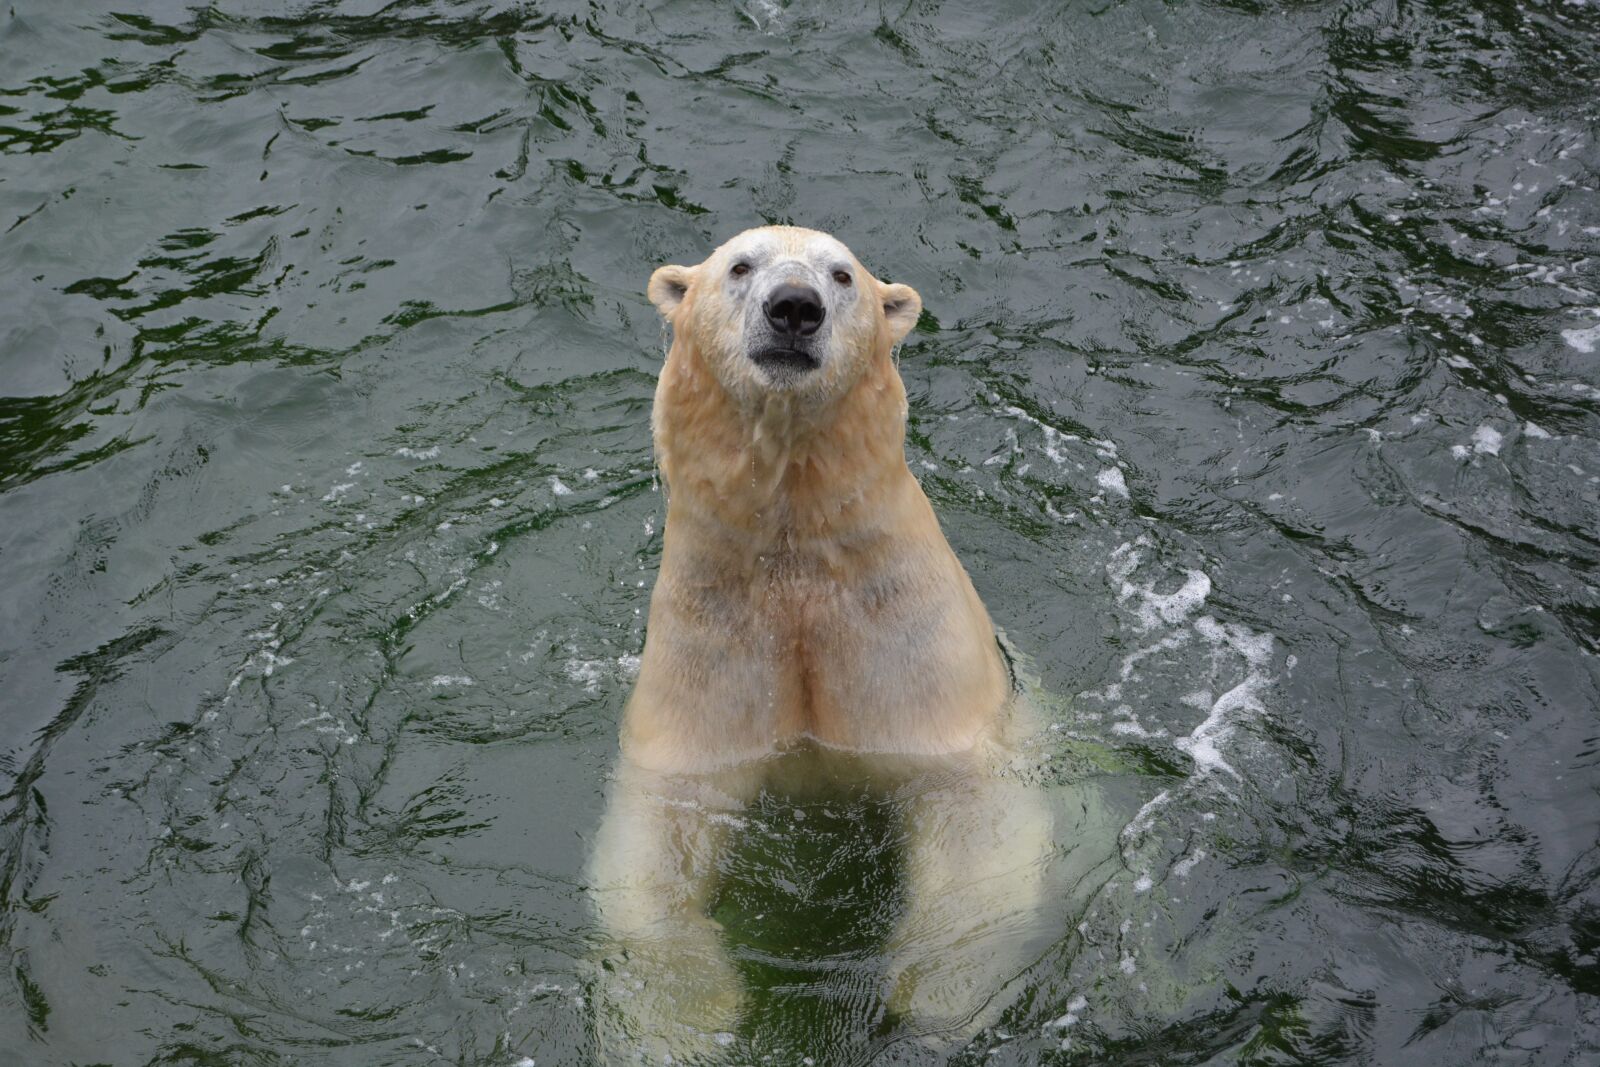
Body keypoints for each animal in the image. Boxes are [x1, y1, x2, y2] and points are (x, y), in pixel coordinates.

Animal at [587, 226, 1075, 1060]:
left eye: (842, 275)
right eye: (740, 265)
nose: (794, 307)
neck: (796, 557)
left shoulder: (910, 655)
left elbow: (974, 827)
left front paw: (930, 989)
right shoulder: (708, 656)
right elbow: (656, 845)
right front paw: (684, 1016)